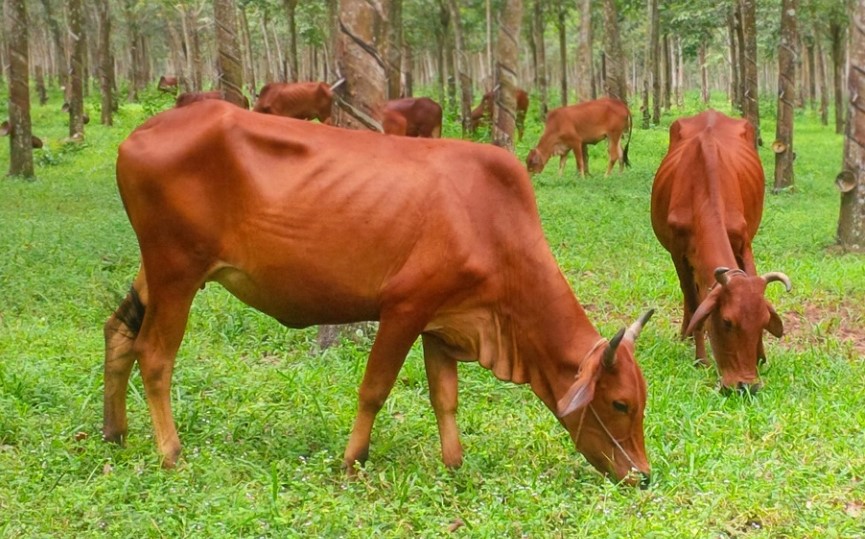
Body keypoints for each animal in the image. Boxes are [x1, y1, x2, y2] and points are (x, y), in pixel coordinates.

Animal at [104, 99, 652, 488]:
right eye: (621, 404)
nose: (643, 477)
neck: (493, 226)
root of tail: (138, 135)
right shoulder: (404, 308)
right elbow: (375, 389)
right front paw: (353, 461)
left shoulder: (443, 323)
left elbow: (445, 398)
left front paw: (455, 465)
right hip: (177, 271)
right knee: (155, 355)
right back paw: (170, 454)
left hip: (156, 270)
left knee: (119, 333)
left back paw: (115, 435)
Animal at [648, 110, 788, 396]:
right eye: (726, 322)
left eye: (763, 322)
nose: (746, 386)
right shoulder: (678, 252)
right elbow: (694, 302)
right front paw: (701, 359)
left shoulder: (743, 243)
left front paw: (761, 356)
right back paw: (685, 335)